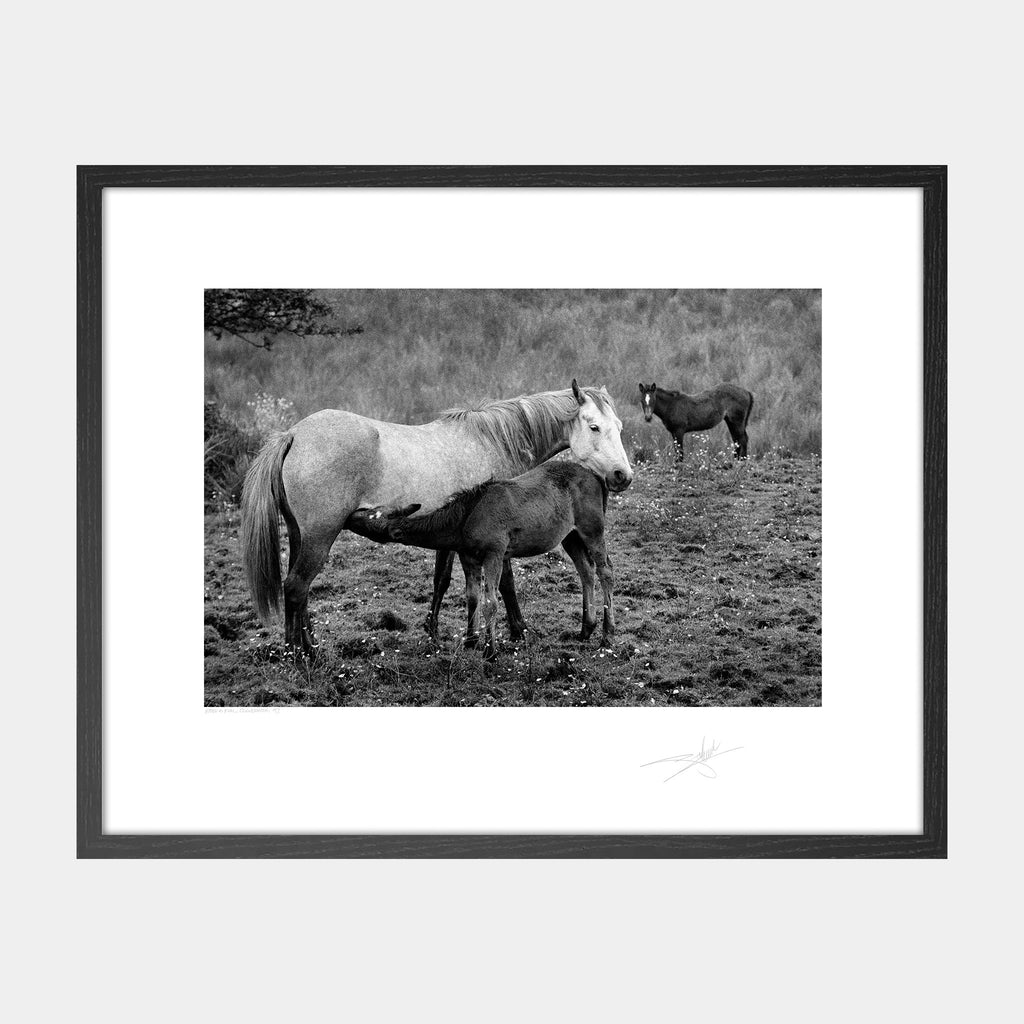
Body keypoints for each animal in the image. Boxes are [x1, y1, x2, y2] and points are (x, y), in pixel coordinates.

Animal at [348, 461, 615, 658]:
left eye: (369, 518)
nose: (352, 512)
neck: (464, 518)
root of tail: (598, 478)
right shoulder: (469, 556)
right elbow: (473, 597)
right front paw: (471, 640)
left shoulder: (494, 552)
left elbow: (491, 602)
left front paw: (491, 651)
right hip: (570, 536)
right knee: (585, 570)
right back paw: (586, 628)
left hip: (593, 529)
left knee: (605, 571)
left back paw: (607, 634)